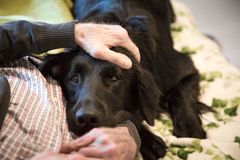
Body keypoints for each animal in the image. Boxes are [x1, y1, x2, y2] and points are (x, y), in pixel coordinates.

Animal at [38, 0, 209, 159]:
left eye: (114, 78)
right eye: (74, 79)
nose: (86, 119)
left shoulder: (184, 67)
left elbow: (182, 92)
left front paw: (190, 126)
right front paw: (148, 140)